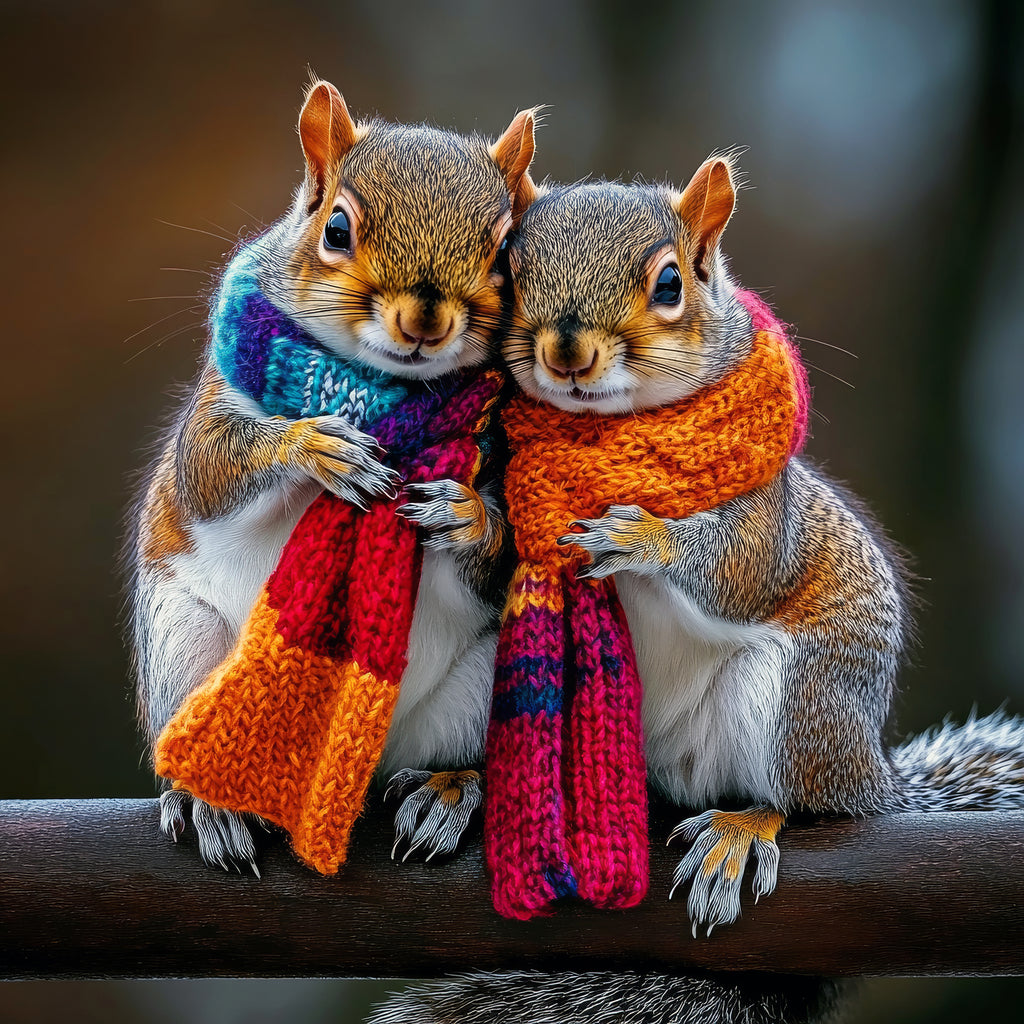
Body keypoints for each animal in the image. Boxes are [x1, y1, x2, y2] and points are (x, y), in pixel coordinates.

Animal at [127, 79, 536, 874]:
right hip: (181, 644)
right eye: (337, 229)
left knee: (455, 752)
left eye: (506, 250)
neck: (380, 392)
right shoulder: (220, 406)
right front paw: (315, 447)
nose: (424, 320)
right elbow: (208, 471)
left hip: (482, 688)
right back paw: (213, 801)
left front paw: (465, 516)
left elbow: (511, 545)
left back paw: (446, 790)